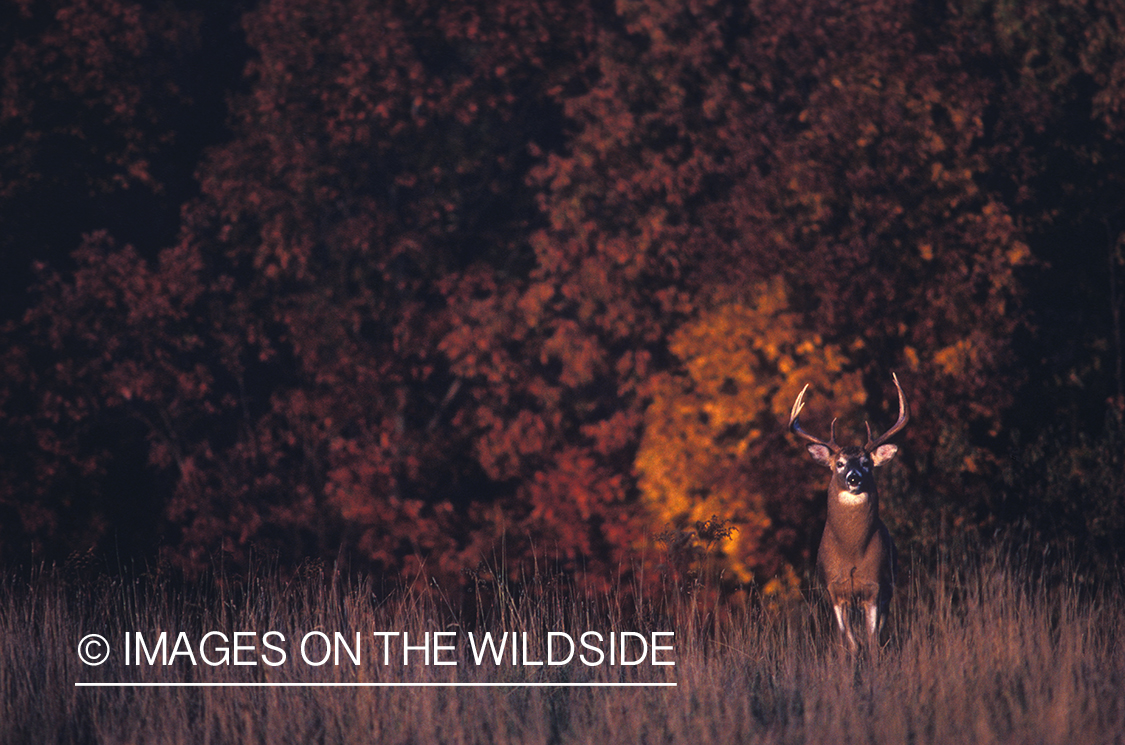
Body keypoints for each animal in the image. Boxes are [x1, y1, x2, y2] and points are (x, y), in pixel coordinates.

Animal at [787, 373, 909, 652]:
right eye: (840, 463)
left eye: (866, 463)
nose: (854, 478)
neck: (852, 551)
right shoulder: (834, 589)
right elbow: (848, 642)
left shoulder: (875, 587)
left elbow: (872, 640)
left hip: (889, 588)